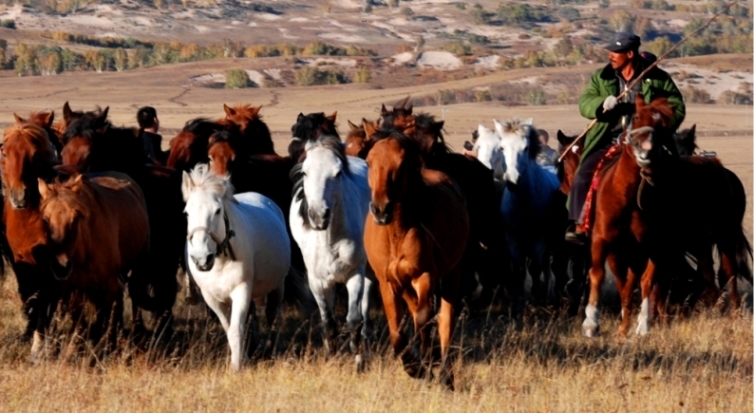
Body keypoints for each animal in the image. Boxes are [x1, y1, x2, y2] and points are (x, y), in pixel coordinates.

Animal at [38, 172, 150, 352]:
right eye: (45, 220)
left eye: (75, 219)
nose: (61, 267)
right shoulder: (73, 289)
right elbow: (79, 321)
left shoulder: (108, 285)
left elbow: (103, 319)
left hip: (138, 264)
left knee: (135, 297)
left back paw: (137, 332)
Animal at [181, 164, 290, 370]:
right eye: (186, 213)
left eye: (217, 211)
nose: (201, 258)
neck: (220, 261)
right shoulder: (212, 298)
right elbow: (229, 327)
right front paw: (242, 358)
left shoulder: (241, 289)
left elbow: (235, 329)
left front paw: (237, 366)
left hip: (278, 287)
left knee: (273, 316)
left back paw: (272, 349)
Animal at [286, 136, 372, 370]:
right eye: (305, 172)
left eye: (338, 172)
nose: (318, 215)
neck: (330, 239)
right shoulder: (317, 281)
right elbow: (328, 324)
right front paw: (331, 356)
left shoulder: (355, 274)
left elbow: (354, 320)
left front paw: (356, 355)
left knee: (364, 312)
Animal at [362, 130, 468, 390]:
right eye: (368, 162)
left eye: (402, 163)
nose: (381, 210)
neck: (397, 233)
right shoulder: (388, 282)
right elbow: (397, 332)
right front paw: (415, 367)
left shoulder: (425, 276)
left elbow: (424, 318)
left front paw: (425, 364)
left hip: (452, 274)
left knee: (445, 321)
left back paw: (445, 374)